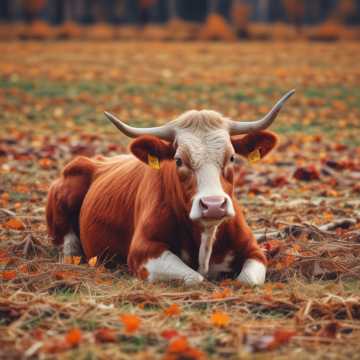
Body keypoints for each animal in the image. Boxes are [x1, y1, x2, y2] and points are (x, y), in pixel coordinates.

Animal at [46, 90, 296, 286]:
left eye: (232, 157)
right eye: (178, 160)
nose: (214, 205)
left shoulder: (253, 250)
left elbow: (248, 280)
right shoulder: (142, 251)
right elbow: (195, 278)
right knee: (68, 246)